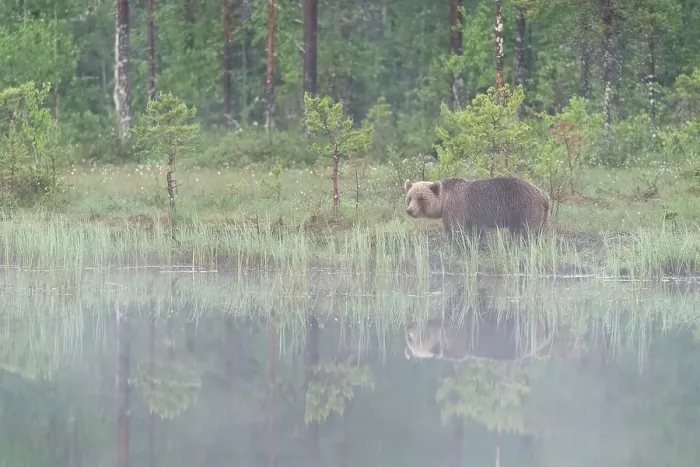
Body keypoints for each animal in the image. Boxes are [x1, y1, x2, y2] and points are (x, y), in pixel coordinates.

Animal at [403, 175, 551, 243]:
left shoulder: (456, 208)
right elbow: (477, 233)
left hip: (524, 208)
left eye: (421, 198)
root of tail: (544, 196)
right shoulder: (472, 217)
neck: (444, 201)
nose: (410, 210)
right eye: (409, 197)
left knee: (523, 232)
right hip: (541, 216)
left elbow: (455, 230)